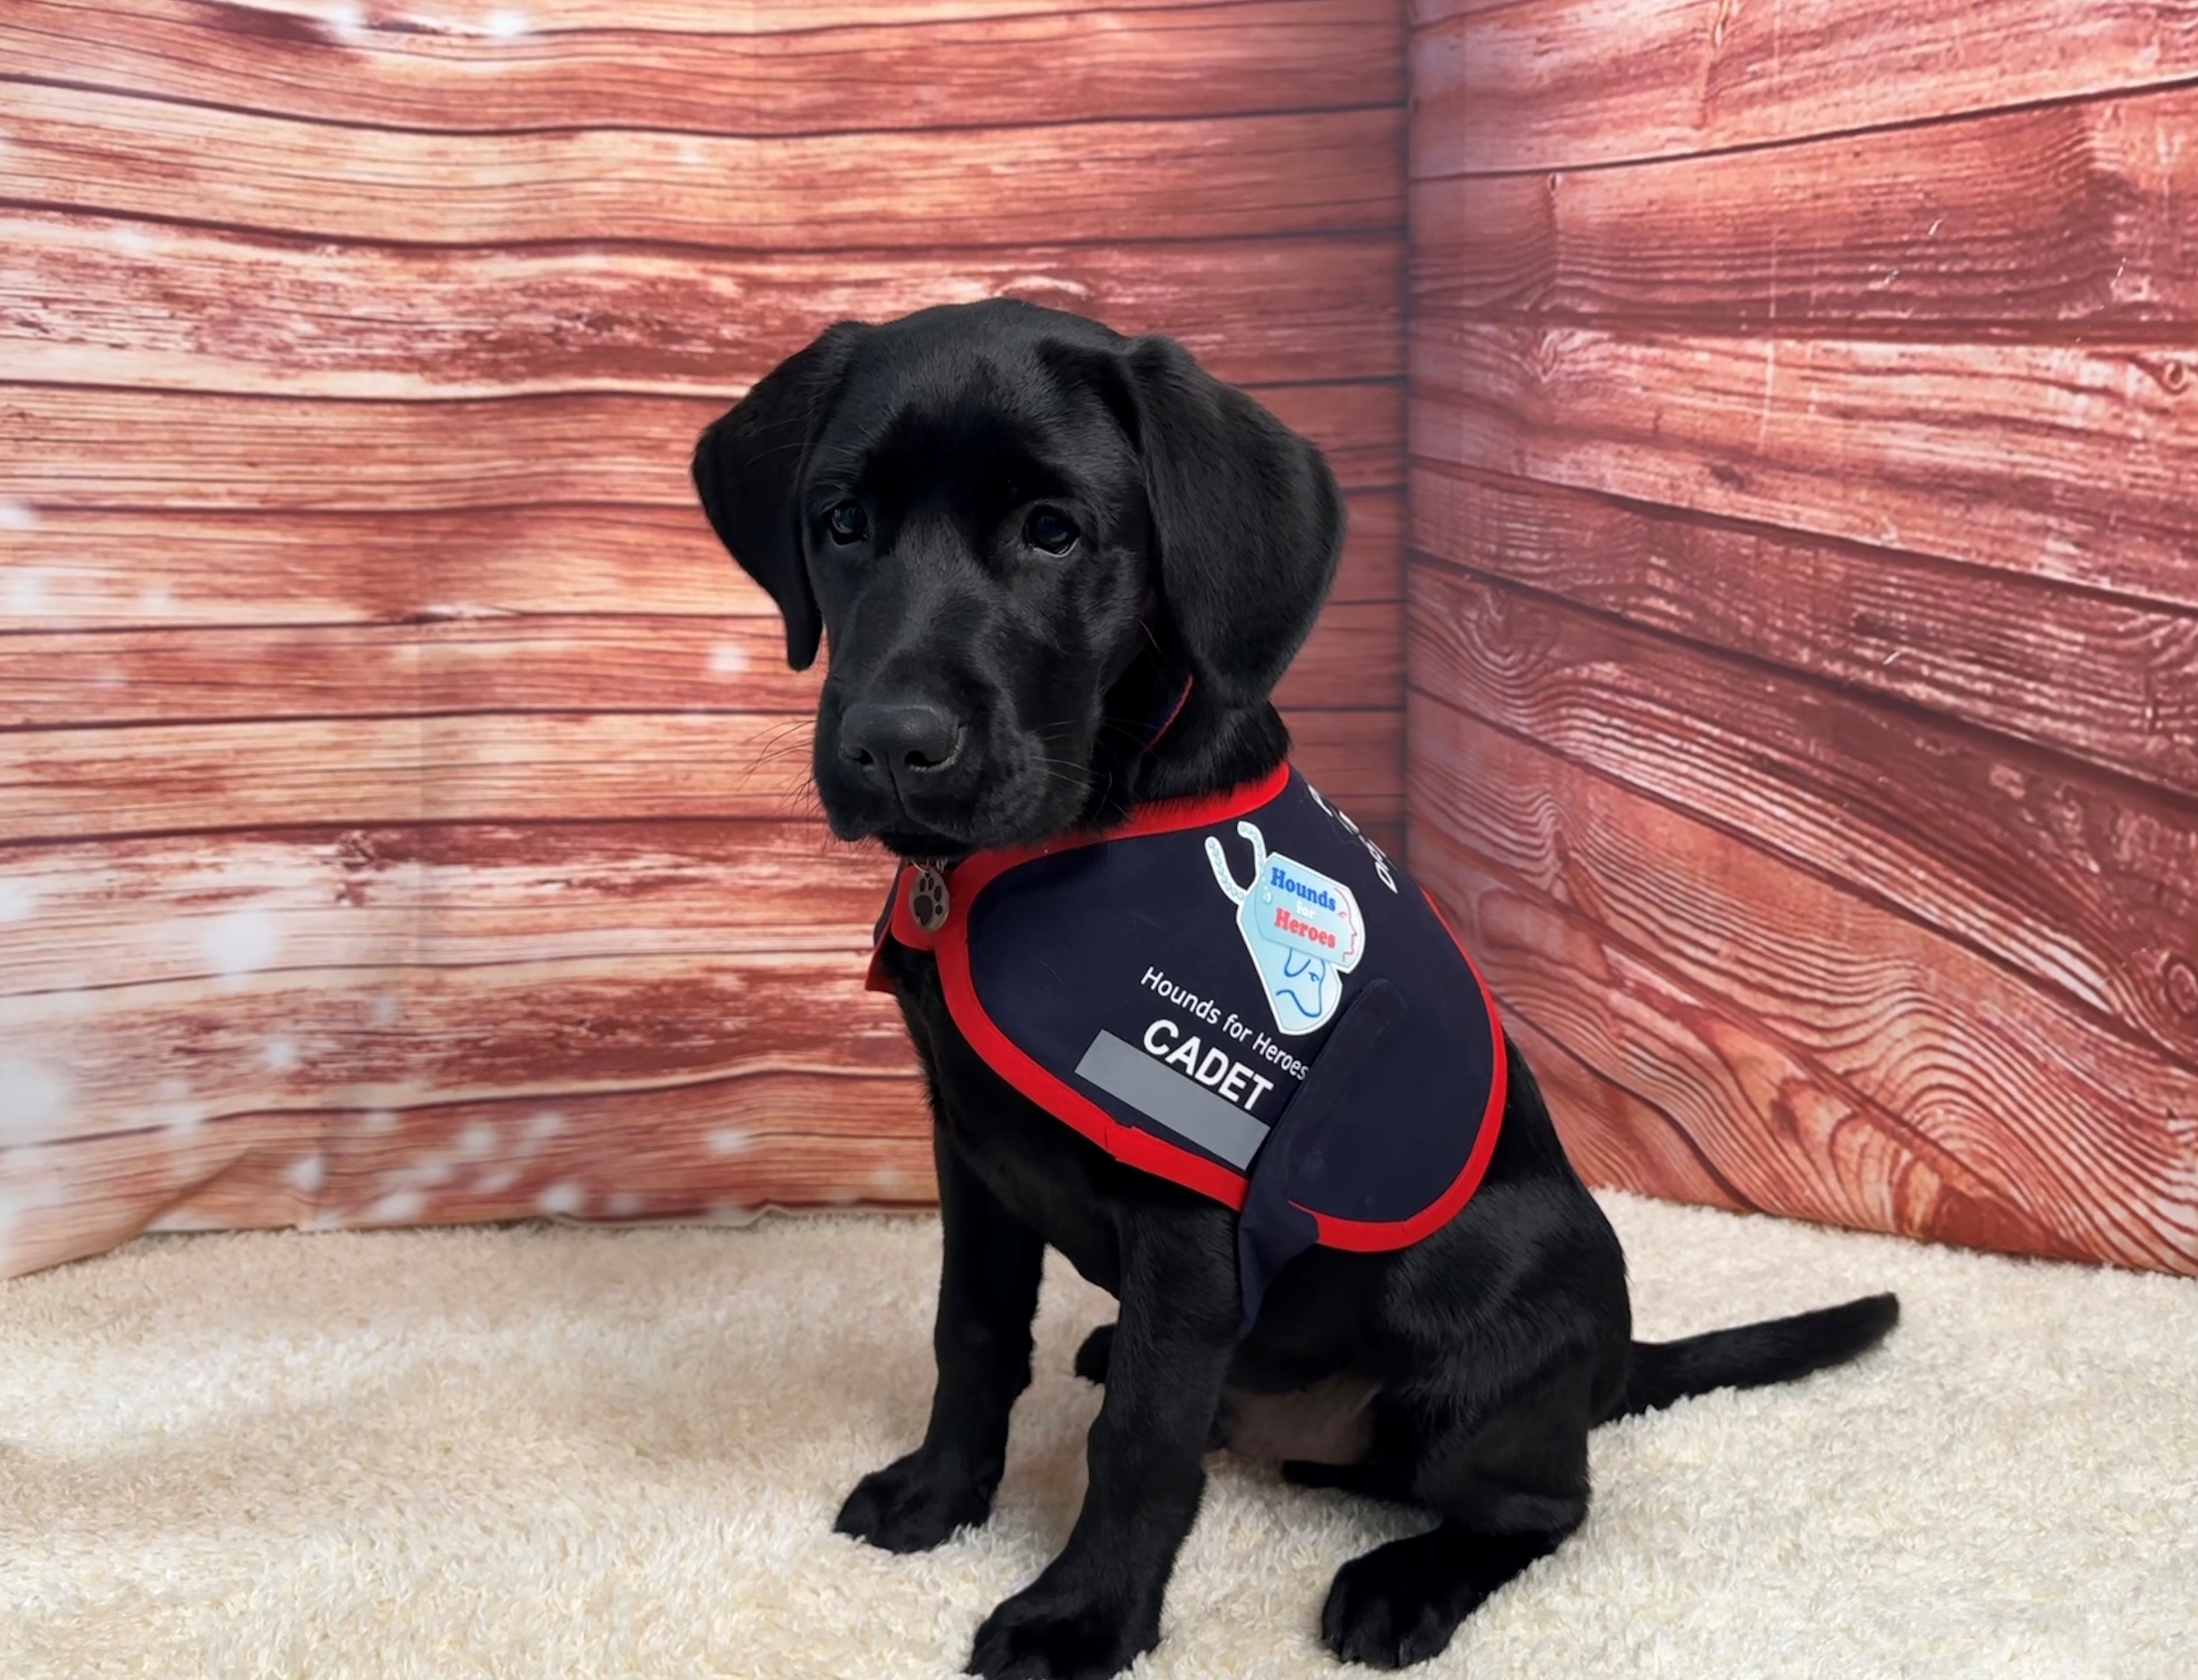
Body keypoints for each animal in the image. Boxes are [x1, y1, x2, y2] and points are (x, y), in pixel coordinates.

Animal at [685, 305, 1890, 1678]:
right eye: (842, 523)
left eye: (1053, 531)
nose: (893, 744)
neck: (1060, 836)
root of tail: (1608, 1364)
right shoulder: (971, 1150)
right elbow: (972, 1334)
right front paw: (941, 1496)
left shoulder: (1189, 1211)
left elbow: (1138, 1442)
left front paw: (1083, 1617)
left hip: (1496, 1312)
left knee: (1541, 1503)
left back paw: (1401, 1584)